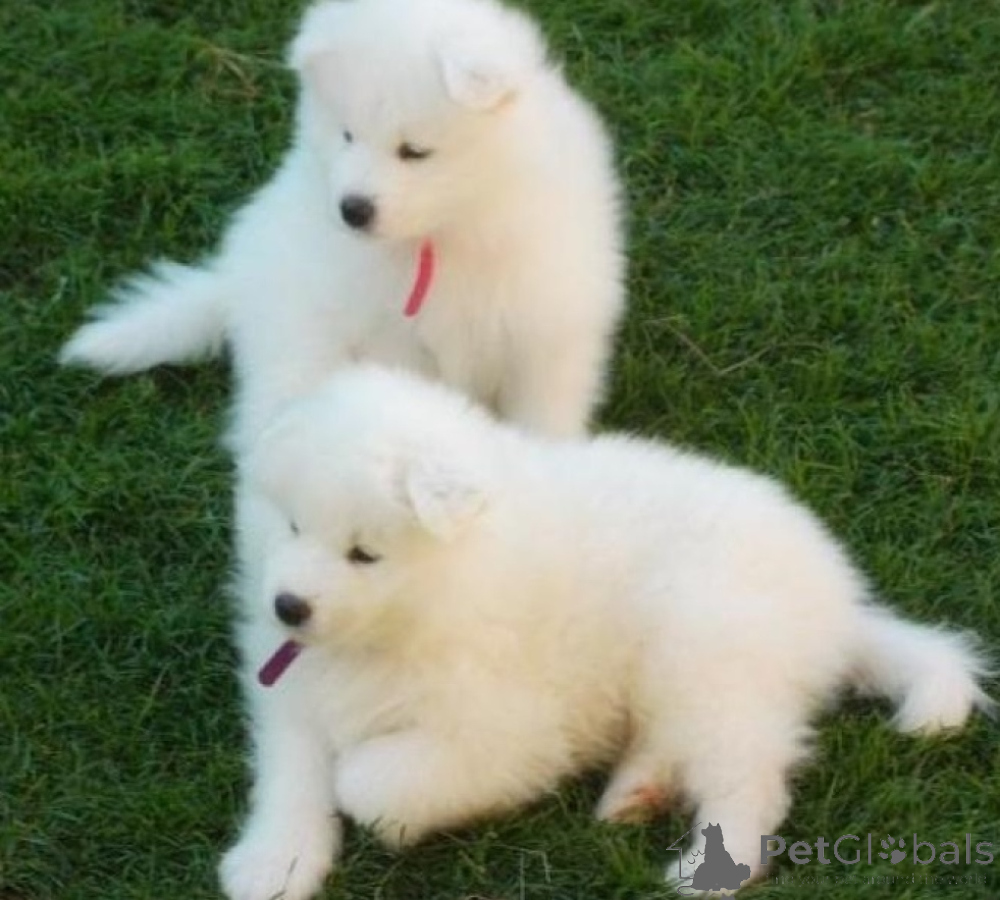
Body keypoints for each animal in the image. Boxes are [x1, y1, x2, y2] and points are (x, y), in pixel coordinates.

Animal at [59, 0, 624, 448]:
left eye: (414, 151)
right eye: (347, 134)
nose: (352, 209)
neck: (444, 236)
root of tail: (236, 281)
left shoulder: (543, 336)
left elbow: (542, 417)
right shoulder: (388, 339)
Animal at [221, 364, 991, 899]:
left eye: (364, 553)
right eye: (293, 525)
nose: (287, 606)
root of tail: (836, 603)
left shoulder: (505, 734)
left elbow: (370, 780)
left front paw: (371, 800)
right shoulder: (292, 698)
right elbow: (292, 779)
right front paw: (272, 863)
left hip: (707, 648)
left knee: (748, 775)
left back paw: (706, 869)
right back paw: (636, 793)